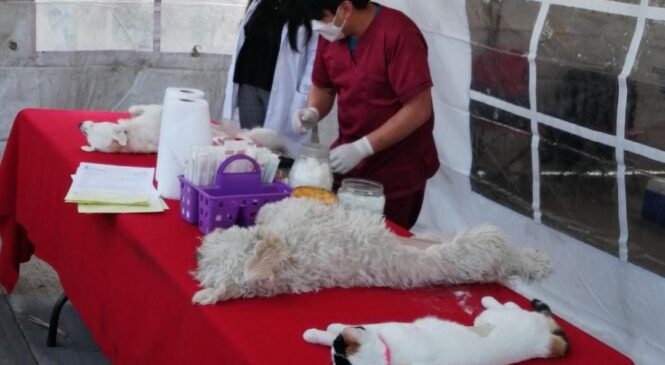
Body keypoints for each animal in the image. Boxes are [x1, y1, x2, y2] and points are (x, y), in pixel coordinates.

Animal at [191, 198, 548, 302]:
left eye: (210, 254)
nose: (196, 253)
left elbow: (270, 211)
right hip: (483, 242)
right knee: (511, 254)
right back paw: (538, 262)